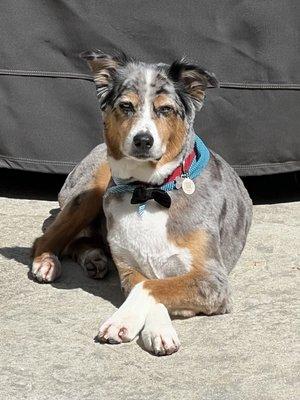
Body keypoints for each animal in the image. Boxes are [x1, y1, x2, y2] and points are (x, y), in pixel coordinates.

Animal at [30, 50, 252, 356]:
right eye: (126, 106)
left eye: (165, 109)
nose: (143, 140)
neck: (149, 191)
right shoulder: (130, 269)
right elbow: (147, 284)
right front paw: (138, 324)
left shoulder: (212, 280)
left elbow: (152, 287)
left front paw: (137, 324)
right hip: (92, 191)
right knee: (47, 237)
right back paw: (48, 262)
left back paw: (94, 257)